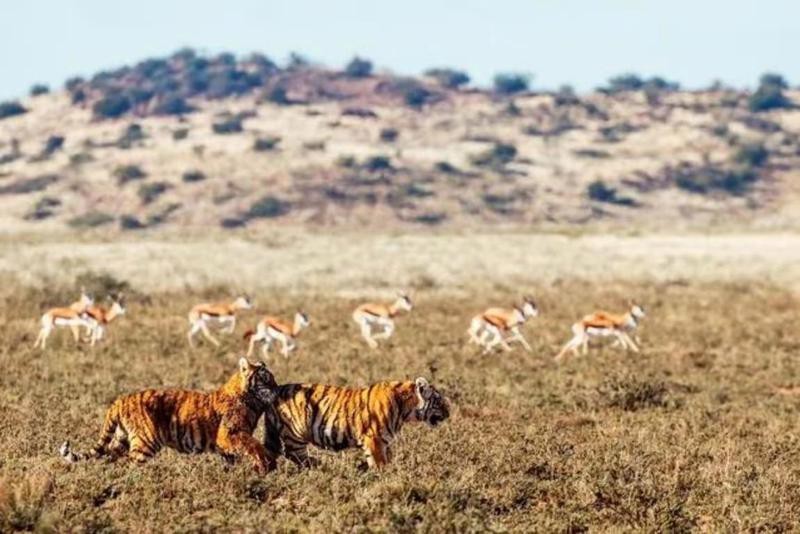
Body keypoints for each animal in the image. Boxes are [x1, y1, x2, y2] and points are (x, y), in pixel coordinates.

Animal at [60, 357, 279, 474]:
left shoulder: (226, 445)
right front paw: (267, 465)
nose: (278, 389)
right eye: (266, 379)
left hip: (121, 439)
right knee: (129, 464)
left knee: (110, 457)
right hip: (145, 443)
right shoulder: (229, 435)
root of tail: (120, 400)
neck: (252, 401)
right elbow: (254, 445)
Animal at [263, 377, 449, 468]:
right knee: (292, 454)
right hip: (295, 433)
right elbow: (380, 464)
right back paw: (319, 466)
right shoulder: (374, 439)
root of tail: (276, 389)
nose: (449, 412)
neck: (406, 409)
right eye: (438, 400)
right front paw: (385, 479)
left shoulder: (384, 442)